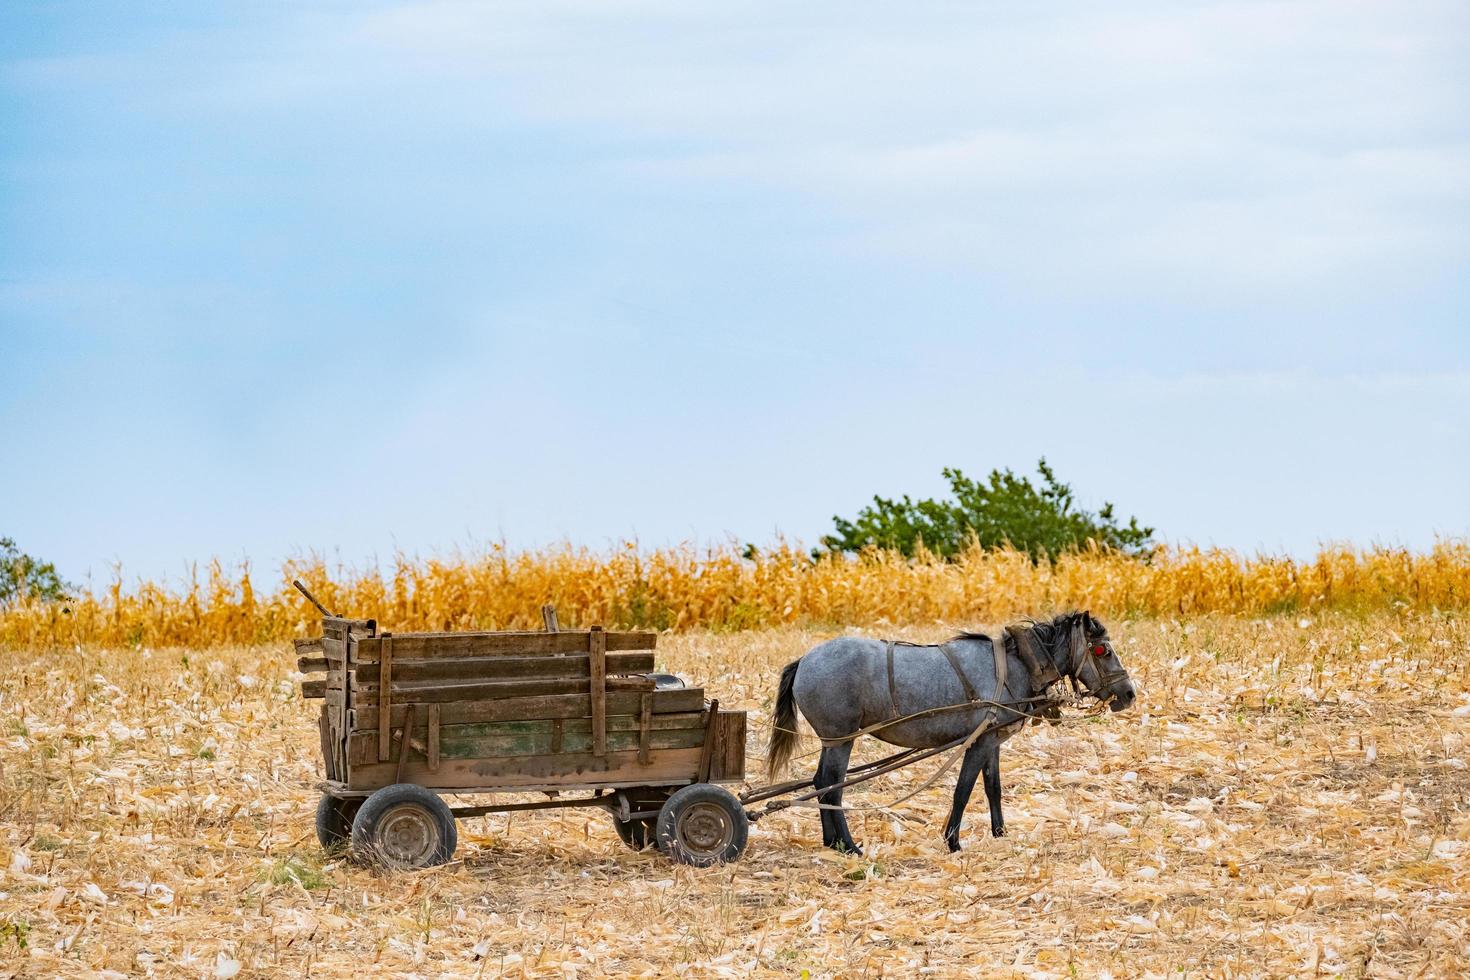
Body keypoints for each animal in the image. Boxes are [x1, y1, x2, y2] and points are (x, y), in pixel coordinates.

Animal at [770, 614, 1134, 852]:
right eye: (1102, 650)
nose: (1129, 694)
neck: (1017, 664)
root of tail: (804, 660)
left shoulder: (993, 742)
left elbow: (993, 788)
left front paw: (1000, 833)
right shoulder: (980, 741)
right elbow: (963, 790)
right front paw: (953, 841)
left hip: (831, 741)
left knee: (820, 782)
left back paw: (830, 842)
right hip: (841, 739)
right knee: (832, 788)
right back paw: (848, 845)